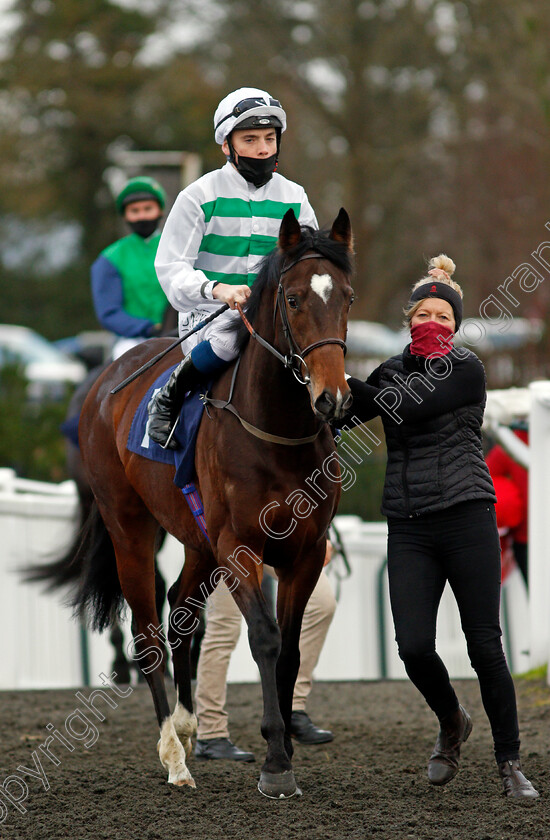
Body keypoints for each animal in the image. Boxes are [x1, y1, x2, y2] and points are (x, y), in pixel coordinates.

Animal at [75, 207, 356, 796]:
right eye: (293, 298)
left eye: (346, 296)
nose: (332, 398)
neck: (278, 433)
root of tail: (104, 382)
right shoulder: (239, 547)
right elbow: (267, 639)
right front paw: (276, 761)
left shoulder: (306, 551)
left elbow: (292, 647)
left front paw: (285, 745)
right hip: (129, 528)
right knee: (148, 631)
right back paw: (173, 757)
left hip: (197, 541)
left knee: (182, 610)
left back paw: (187, 729)